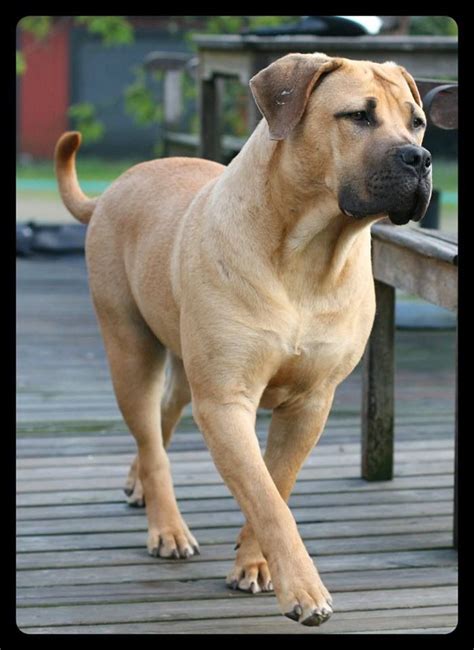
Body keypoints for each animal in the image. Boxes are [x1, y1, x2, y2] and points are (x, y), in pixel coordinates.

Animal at [54, 53, 430, 624]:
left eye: (417, 122)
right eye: (359, 116)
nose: (421, 158)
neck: (309, 254)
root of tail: (111, 193)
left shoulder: (310, 402)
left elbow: (276, 483)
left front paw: (255, 563)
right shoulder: (226, 401)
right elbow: (267, 497)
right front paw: (304, 590)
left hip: (184, 362)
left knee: (163, 417)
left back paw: (140, 484)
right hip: (130, 349)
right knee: (150, 434)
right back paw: (166, 526)